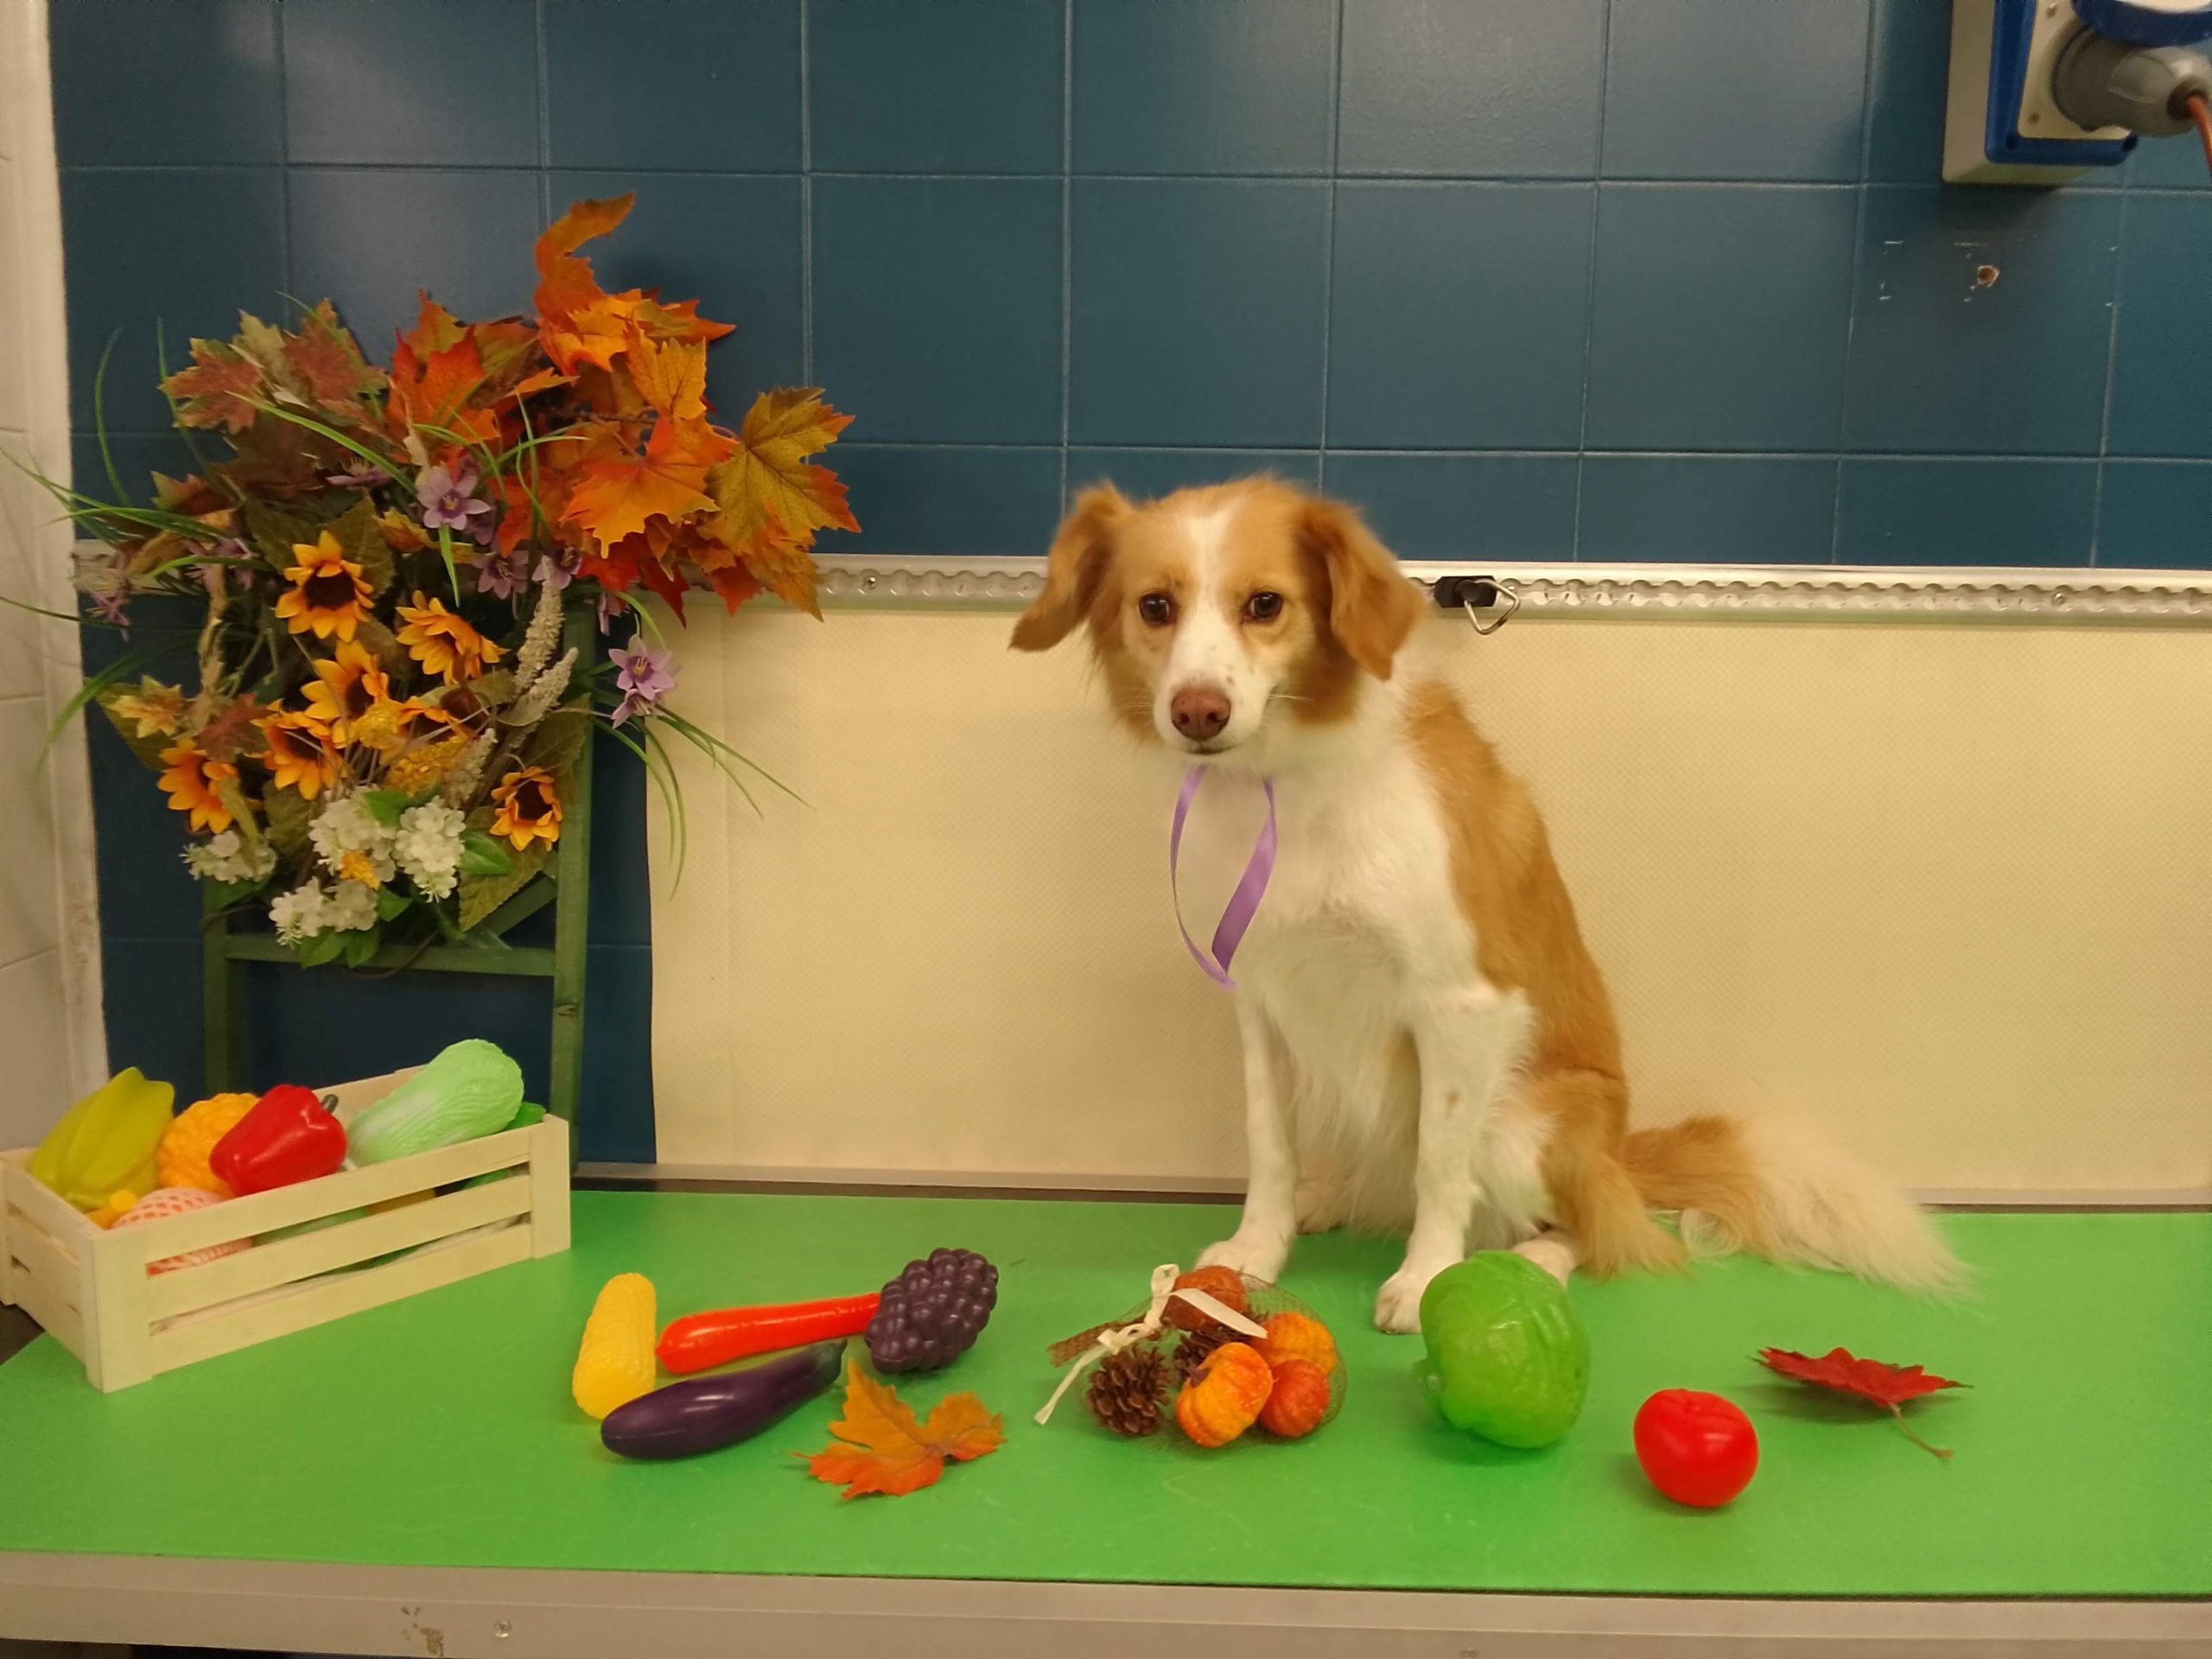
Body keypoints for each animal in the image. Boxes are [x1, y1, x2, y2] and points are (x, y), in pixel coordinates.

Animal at [1012, 477, 1961, 1332]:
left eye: (1264, 604)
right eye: (1155, 606)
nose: (1196, 711)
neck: (1292, 780)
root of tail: (1617, 1155)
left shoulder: (1460, 1004)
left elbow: (1442, 1163)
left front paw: (1425, 1280)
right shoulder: (1262, 999)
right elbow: (1267, 1144)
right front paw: (1257, 1249)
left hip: (1527, 1125)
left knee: (1595, 1229)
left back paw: (1531, 1257)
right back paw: (1331, 1198)